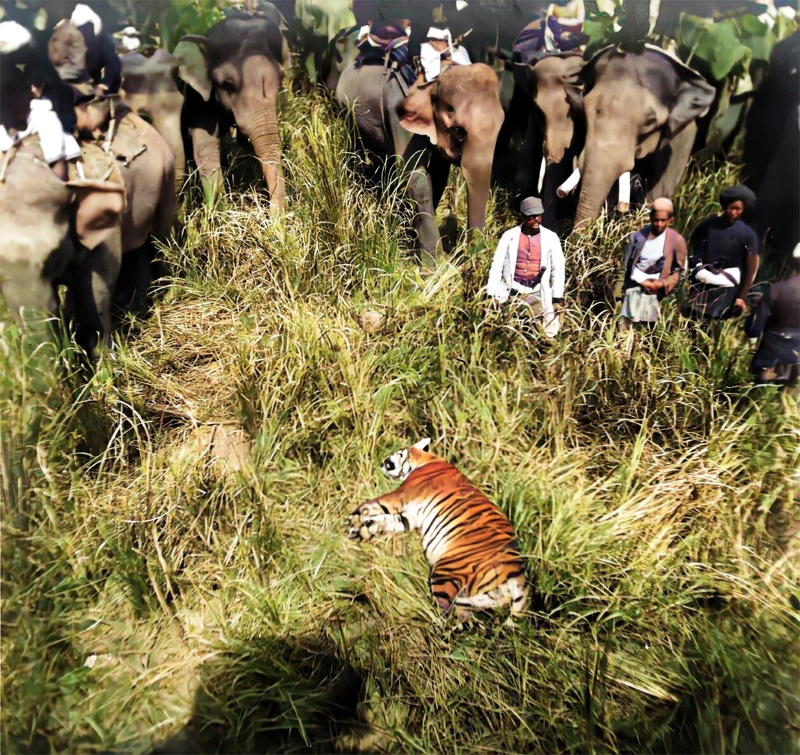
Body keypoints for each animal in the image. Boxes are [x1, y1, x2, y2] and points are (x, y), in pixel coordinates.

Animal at [172, 10, 290, 214]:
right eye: (228, 84)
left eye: (281, 76)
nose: (272, 216)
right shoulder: (198, 99)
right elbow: (205, 145)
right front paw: (221, 211)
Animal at [346, 438, 528, 620]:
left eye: (399, 453)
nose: (384, 462)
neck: (427, 459)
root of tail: (517, 573)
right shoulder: (410, 517)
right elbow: (385, 521)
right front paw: (362, 530)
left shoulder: (399, 496)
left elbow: (372, 505)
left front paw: (353, 521)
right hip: (472, 600)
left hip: (445, 572)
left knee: (443, 613)